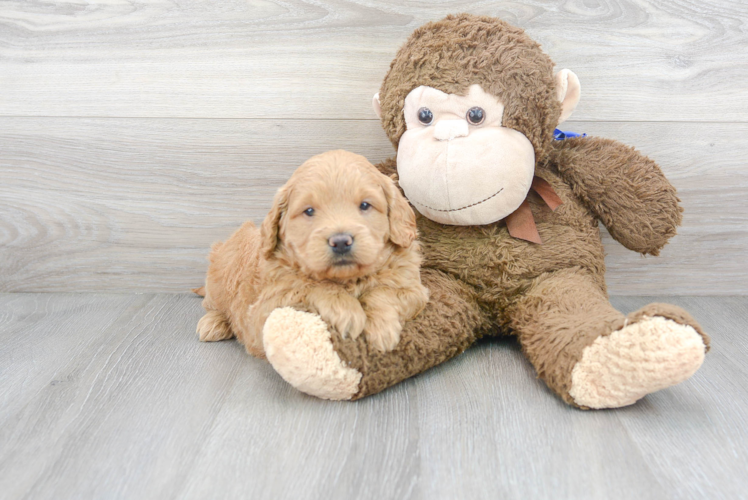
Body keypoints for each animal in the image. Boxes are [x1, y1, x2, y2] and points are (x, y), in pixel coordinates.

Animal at [196, 148, 430, 356]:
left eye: (365, 205)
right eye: (309, 211)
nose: (341, 241)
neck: (347, 279)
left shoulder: (414, 290)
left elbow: (382, 293)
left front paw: (382, 329)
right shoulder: (262, 312)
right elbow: (310, 285)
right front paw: (347, 311)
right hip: (220, 274)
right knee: (212, 304)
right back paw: (213, 323)